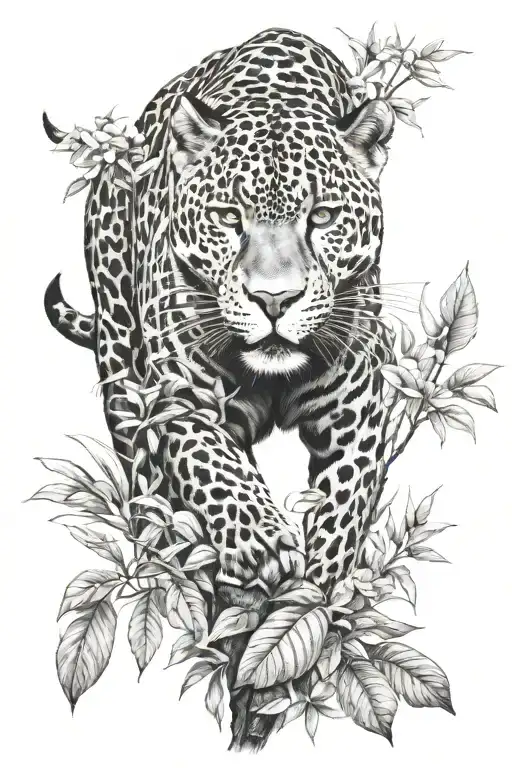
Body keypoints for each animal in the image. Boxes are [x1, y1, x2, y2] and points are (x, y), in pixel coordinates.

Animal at [43, 27, 396, 596]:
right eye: (229, 217)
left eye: (323, 216)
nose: (274, 299)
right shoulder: (180, 393)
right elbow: (212, 463)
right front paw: (264, 542)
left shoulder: (357, 409)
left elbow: (342, 508)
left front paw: (316, 593)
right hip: (120, 352)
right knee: (145, 473)